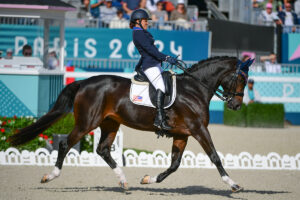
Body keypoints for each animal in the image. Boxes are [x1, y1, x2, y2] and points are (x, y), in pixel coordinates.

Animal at [8, 55, 253, 192]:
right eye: (242, 78)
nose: (236, 105)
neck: (194, 89)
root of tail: (84, 82)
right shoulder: (198, 129)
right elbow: (214, 157)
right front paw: (233, 184)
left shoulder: (182, 134)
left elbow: (174, 164)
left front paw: (148, 179)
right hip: (87, 122)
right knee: (65, 144)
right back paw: (50, 176)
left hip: (110, 124)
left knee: (103, 150)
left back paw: (124, 181)